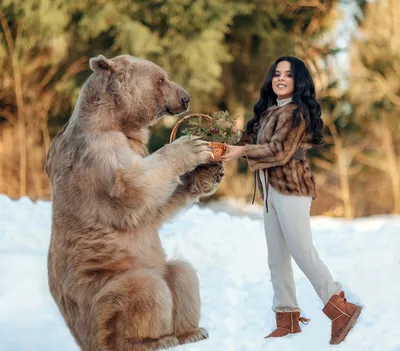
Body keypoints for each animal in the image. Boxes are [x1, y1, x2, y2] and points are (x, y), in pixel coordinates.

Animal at [47, 55, 225, 351]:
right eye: (161, 78)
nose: (186, 97)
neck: (115, 121)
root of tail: (85, 340)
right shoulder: (97, 151)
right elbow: (133, 187)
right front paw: (192, 146)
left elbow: (153, 211)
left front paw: (206, 174)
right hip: (103, 288)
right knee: (144, 291)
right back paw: (155, 340)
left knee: (182, 273)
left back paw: (192, 332)